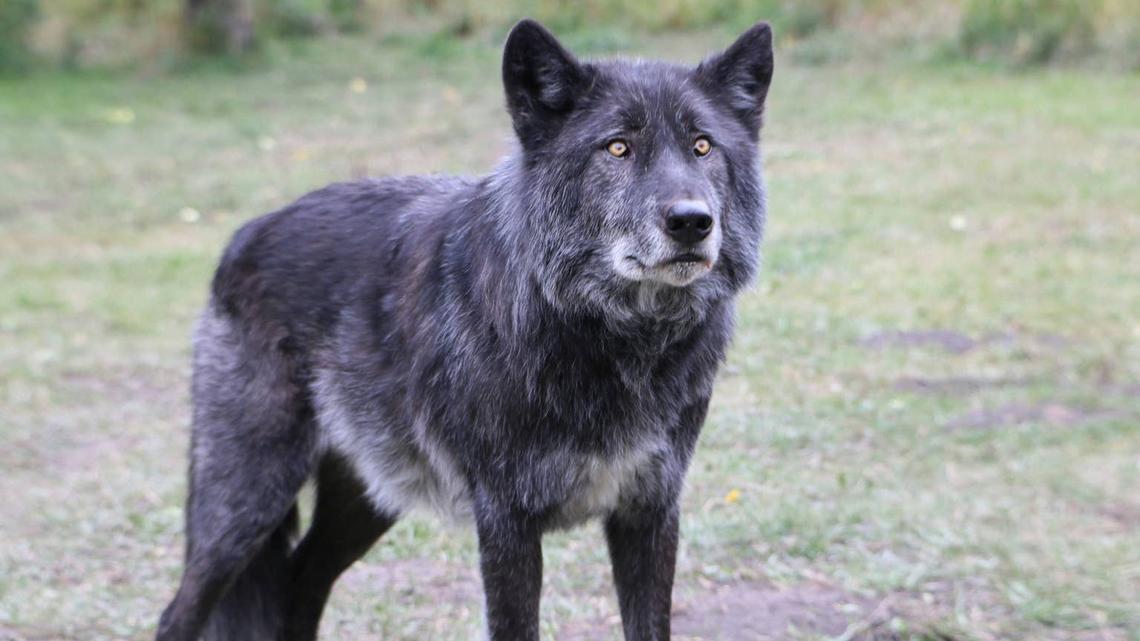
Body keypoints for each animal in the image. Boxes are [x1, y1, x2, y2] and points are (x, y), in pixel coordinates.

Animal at [156, 17, 774, 641]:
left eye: (702, 146)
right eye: (618, 147)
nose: (692, 222)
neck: (618, 339)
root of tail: (243, 235)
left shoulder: (649, 510)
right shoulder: (505, 521)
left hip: (368, 497)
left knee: (302, 582)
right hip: (246, 500)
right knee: (180, 611)